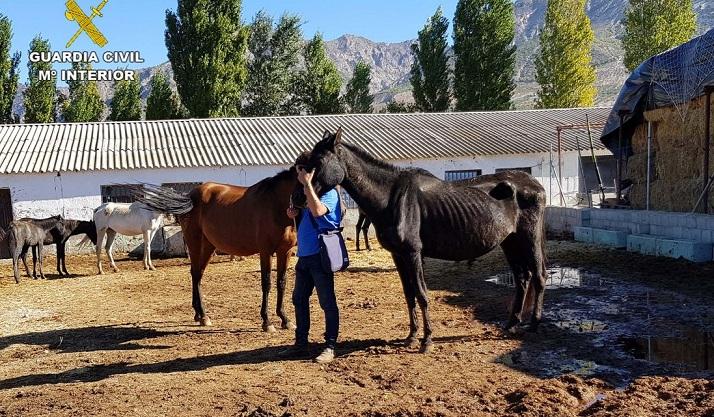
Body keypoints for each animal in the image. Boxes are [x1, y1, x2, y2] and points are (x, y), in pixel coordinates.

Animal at [133, 166, 298, 332]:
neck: (275, 203)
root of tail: (190, 196)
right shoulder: (266, 252)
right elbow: (267, 283)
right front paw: (267, 322)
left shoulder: (285, 251)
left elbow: (282, 282)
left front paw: (285, 319)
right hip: (194, 243)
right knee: (195, 274)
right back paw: (204, 316)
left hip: (208, 246)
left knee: (198, 274)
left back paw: (199, 314)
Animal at [292, 129, 548, 352]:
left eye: (318, 162)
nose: (297, 199)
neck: (390, 198)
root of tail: (534, 184)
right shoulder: (398, 255)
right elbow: (409, 295)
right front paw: (412, 336)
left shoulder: (414, 253)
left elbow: (422, 294)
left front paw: (427, 340)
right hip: (510, 242)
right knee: (522, 278)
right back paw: (511, 323)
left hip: (529, 238)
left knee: (538, 276)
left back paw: (534, 324)